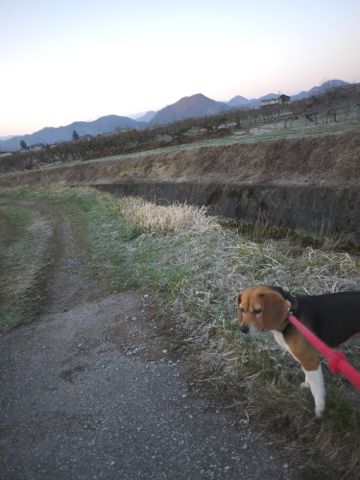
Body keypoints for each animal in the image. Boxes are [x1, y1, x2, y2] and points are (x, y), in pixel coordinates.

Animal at [236, 284, 360, 416]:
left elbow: (317, 389)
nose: (242, 329)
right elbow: (308, 375)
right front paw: (307, 384)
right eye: (242, 310)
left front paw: (319, 411)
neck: (289, 316)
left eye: (257, 311)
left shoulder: (310, 360)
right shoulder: (303, 358)